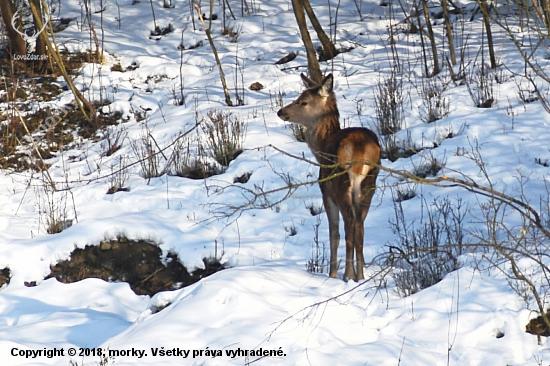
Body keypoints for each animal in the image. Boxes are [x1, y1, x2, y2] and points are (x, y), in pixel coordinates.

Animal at [278, 73, 382, 282]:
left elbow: (333, 233)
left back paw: (347, 275)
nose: (280, 111)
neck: (321, 147)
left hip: (341, 184)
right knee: (360, 228)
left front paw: (332, 274)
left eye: (303, 101)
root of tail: (360, 150)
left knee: (349, 228)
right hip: (369, 184)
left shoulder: (326, 192)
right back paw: (360, 276)